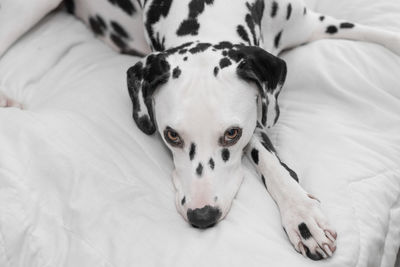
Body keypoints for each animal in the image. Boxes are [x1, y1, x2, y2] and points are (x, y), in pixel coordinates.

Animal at [0, 0, 398, 262]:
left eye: (232, 134)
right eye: (171, 135)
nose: (202, 216)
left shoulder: (313, 24)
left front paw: (302, 214)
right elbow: (266, 156)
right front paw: (301, 215)